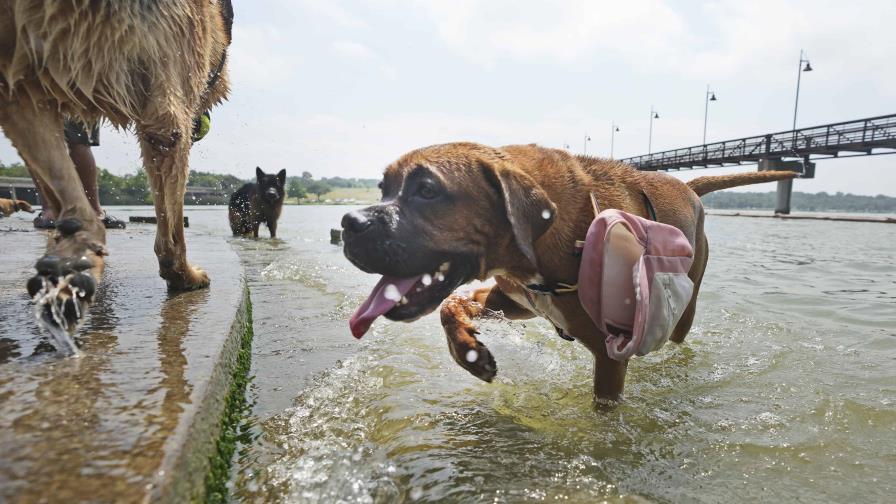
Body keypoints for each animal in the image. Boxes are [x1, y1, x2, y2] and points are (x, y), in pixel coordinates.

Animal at [344, 142, 800, 402]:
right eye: (384, 188)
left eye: (427, 190)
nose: (348, 224)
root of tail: (688, 185)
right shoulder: (514, 300)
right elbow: (450, 305)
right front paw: (469, 351)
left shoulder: (610, 357)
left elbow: (604, 410)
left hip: (686, 310)